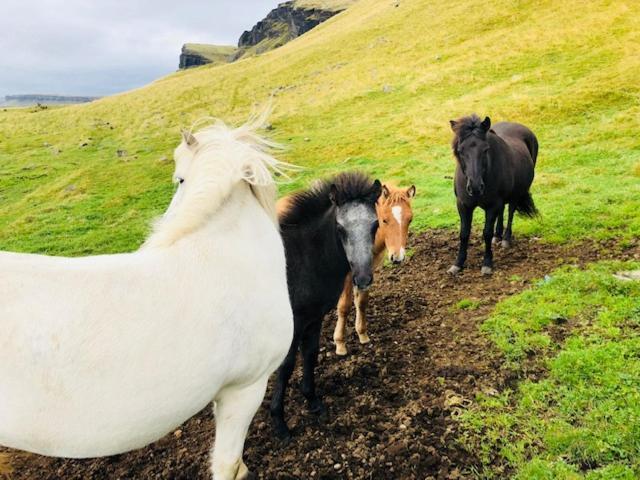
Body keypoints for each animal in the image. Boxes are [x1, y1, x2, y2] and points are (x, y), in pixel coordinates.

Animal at [268, 171, 380, 440]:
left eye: (375, 224)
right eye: (340, 228)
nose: (362, 278)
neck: (301, 261)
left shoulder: (314, 317)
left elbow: (310, 354)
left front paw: (313, 402)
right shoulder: (294, 323)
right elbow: (286, 366)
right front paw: (280, 423)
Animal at [332, 184, 418, 356]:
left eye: (410, 219)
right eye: (384, 220)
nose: (397, 257)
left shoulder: (367, 272)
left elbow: (362, 302)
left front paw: (362, 335)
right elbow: (344, 306)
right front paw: (340, 344)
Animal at [448, 113, 536, 274]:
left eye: (485, 149)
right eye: (461, 150)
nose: (475, 187)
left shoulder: (492, 205)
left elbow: (487, 233)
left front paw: (487, 263)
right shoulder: (463, 205)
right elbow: (464, 233)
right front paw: (458, 263)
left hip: (515, 194)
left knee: (511, 211)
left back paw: (506, 239)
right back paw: (498, 236)